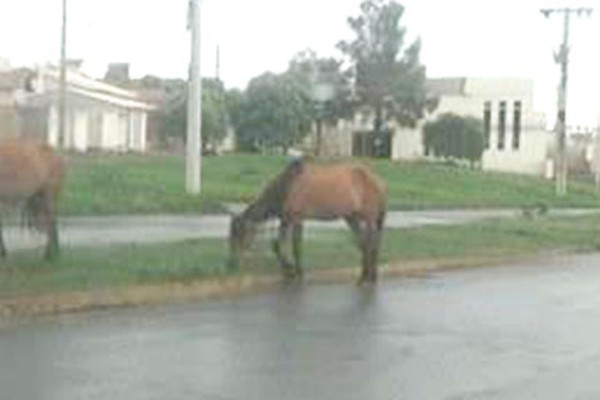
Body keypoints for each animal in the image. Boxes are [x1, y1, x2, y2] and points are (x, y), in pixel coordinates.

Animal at [227, 158, 386, 282]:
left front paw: (296, 272)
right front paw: (289, 271)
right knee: (364, 244)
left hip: (370, 219)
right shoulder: (286, 220)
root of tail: (376, 180)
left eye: (239, 234)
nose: (232, 263)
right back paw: (364, 275)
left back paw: (370, 277)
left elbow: (296, 247)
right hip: (352, 218)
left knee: (372, 245)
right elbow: (278, 245)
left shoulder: (296, 218)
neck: (288, 185)